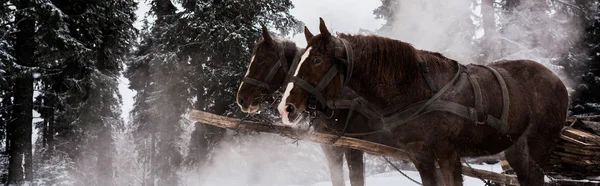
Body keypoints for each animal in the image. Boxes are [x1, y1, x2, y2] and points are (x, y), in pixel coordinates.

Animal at [278, 17, 568, 186]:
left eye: (317, 60)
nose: (286, 108)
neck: (415, 88)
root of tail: (558, 80)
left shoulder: (448, 153)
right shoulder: (420, 155)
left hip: (540, 144)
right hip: (516, 149)